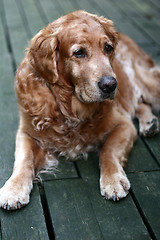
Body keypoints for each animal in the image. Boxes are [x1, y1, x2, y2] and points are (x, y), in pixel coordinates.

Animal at [0, 10, 160, 210]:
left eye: (108, 48)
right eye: (79, 52)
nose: (110, 85)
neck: (69, 107)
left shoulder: (124, 126)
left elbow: (107, 151)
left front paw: (113, 180)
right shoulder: (26, 133)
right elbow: (23, 160)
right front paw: (13, 189)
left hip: (147, 84)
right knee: (140, 104)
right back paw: (149, 123)